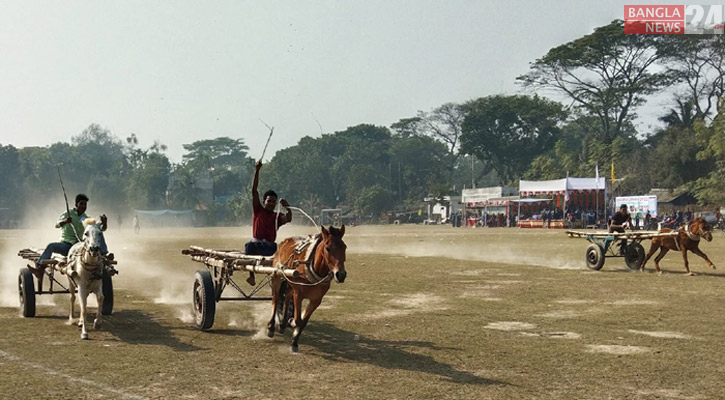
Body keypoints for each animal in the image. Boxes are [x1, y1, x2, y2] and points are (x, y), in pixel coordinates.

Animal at [268, 225, 346, 354]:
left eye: (345, 247)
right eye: (328, 248)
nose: (341, 274)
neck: (314, 268)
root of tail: (283, 242)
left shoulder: (316, 300)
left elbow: (303, 322)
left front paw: (294, 341)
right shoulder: (298, 294)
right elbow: (298, 320)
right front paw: (292, 324)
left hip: (290, 281)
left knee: (287, 295)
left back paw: (283, 324)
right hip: (277, 276)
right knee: (276, 298)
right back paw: (271, 327)